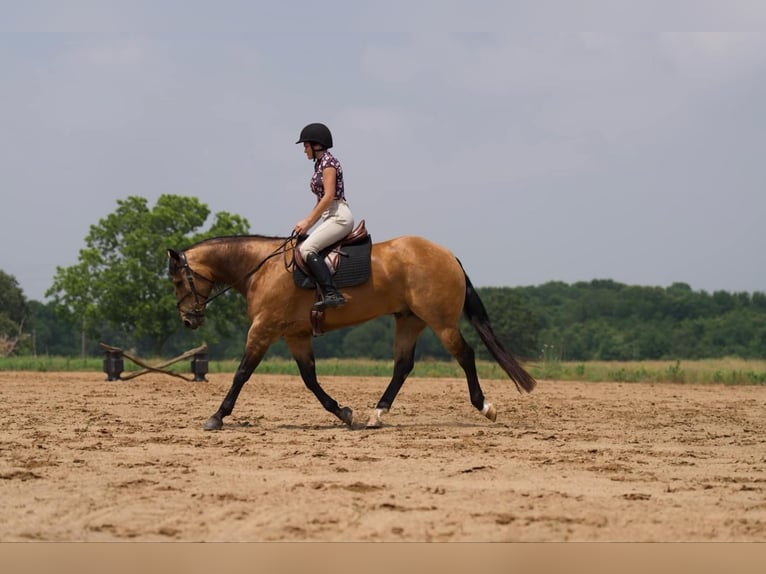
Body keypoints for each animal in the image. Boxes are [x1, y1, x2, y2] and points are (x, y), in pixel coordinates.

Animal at [166, 231, 540, 432]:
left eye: (178, 280)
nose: (188, 320)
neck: (262, 268)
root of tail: (448, 255)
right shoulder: (295, 335)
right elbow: (310, 379)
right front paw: (343, 412)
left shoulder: (264, 329)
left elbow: (242, 373)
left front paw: (217, 416)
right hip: (408, 320)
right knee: (402, 366)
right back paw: (377, 413)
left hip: (440, 321)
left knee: (465, 355)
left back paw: (485, 406)